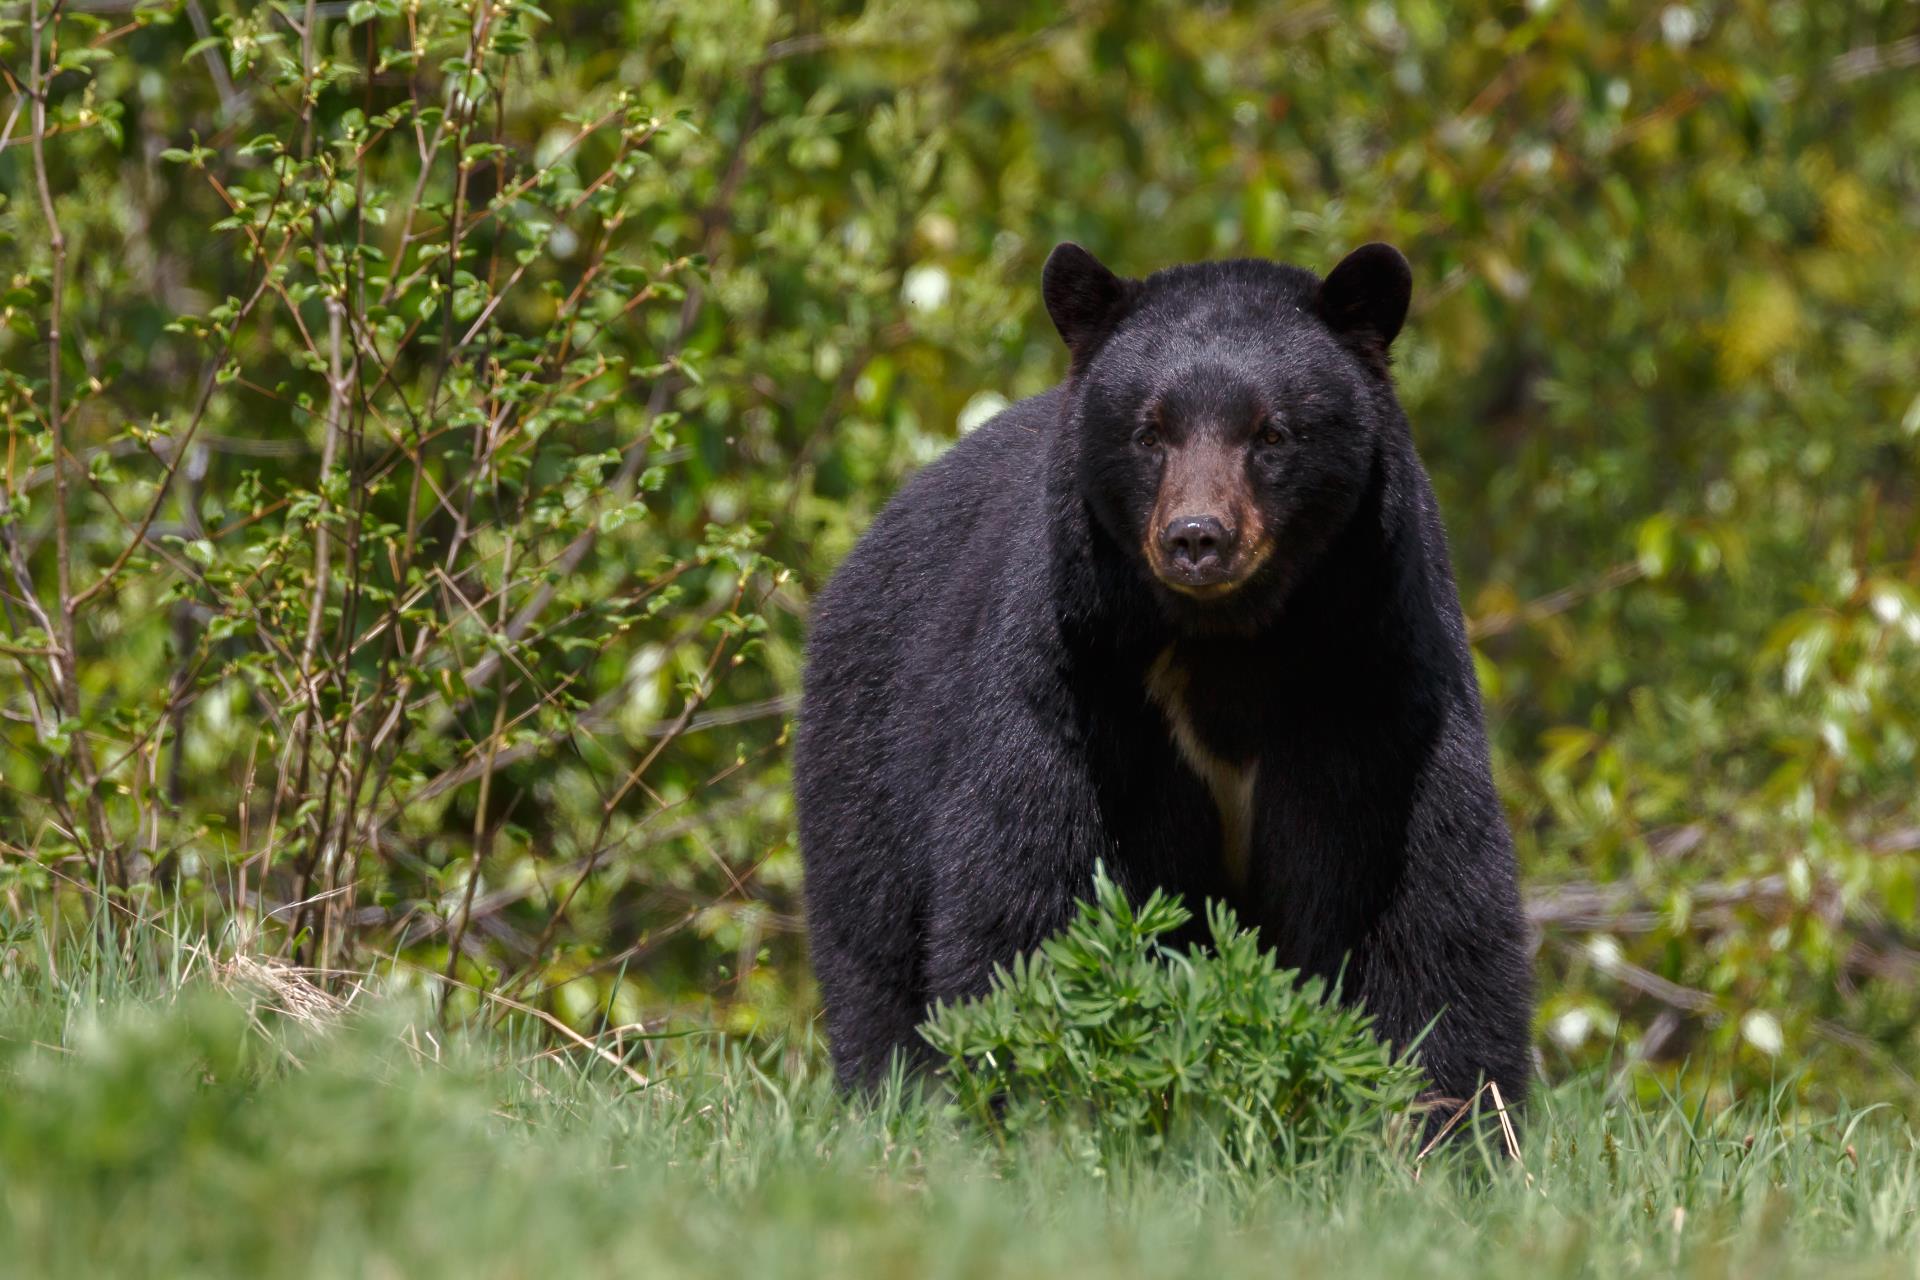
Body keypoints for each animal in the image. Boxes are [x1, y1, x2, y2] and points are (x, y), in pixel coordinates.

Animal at [791, 242, 1528, 1113]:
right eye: (1149, 431)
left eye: (1272, 432)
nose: (1197, 538)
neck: (1228, 641)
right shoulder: (1074, 677)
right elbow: (1036, 886)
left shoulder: (1374, 675)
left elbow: (1422, 904)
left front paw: (1448, 1115)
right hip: (868, 749)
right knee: (871, 950)